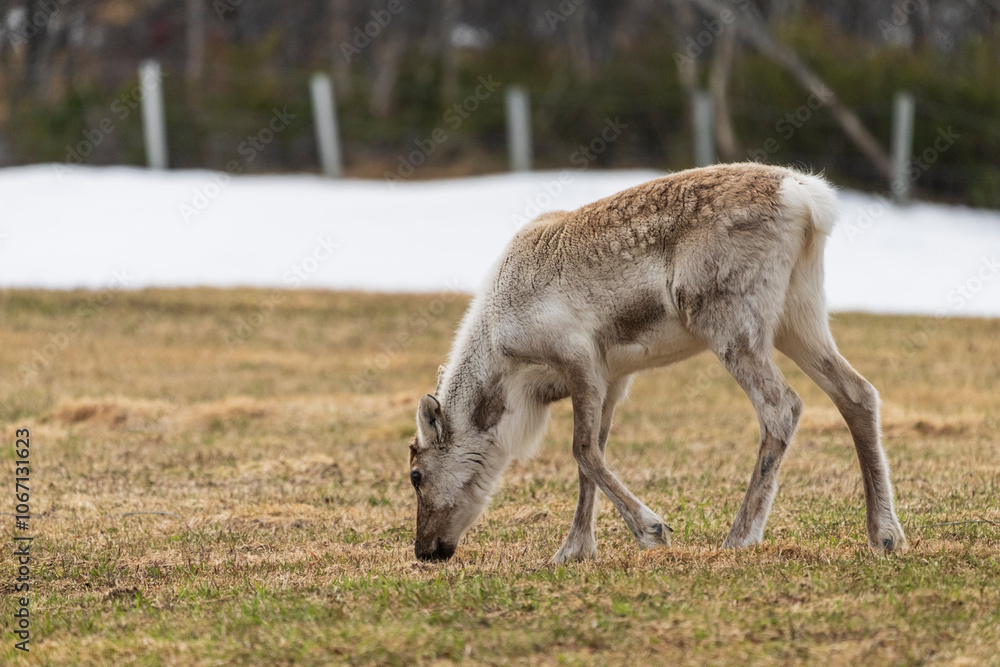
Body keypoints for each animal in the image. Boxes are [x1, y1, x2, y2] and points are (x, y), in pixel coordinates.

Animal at [407, 163, 907, 563]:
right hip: (799, 315)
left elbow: (582, 451)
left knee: (781, 406)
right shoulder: (613, 378)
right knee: (856, 392)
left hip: (729, 321)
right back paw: (885, 534)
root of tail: (804, 197)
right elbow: (594, 454)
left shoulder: (580, 360)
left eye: (415, 475)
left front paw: (650, 531)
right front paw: (574, 550)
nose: (426, 550)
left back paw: (740, 537)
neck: (504, 360)